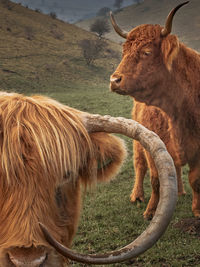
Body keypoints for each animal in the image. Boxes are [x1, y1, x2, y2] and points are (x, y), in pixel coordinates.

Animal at [109, 1, 200, 220]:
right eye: (124, 52)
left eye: (147, 52)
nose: (114, 80)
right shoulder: (152, 147)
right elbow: (156, 179)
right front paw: (151, 210)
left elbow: (195, 179)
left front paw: (197, 210)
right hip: (138, 140)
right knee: (139, 164)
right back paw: (137, 195)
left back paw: (180, 191)